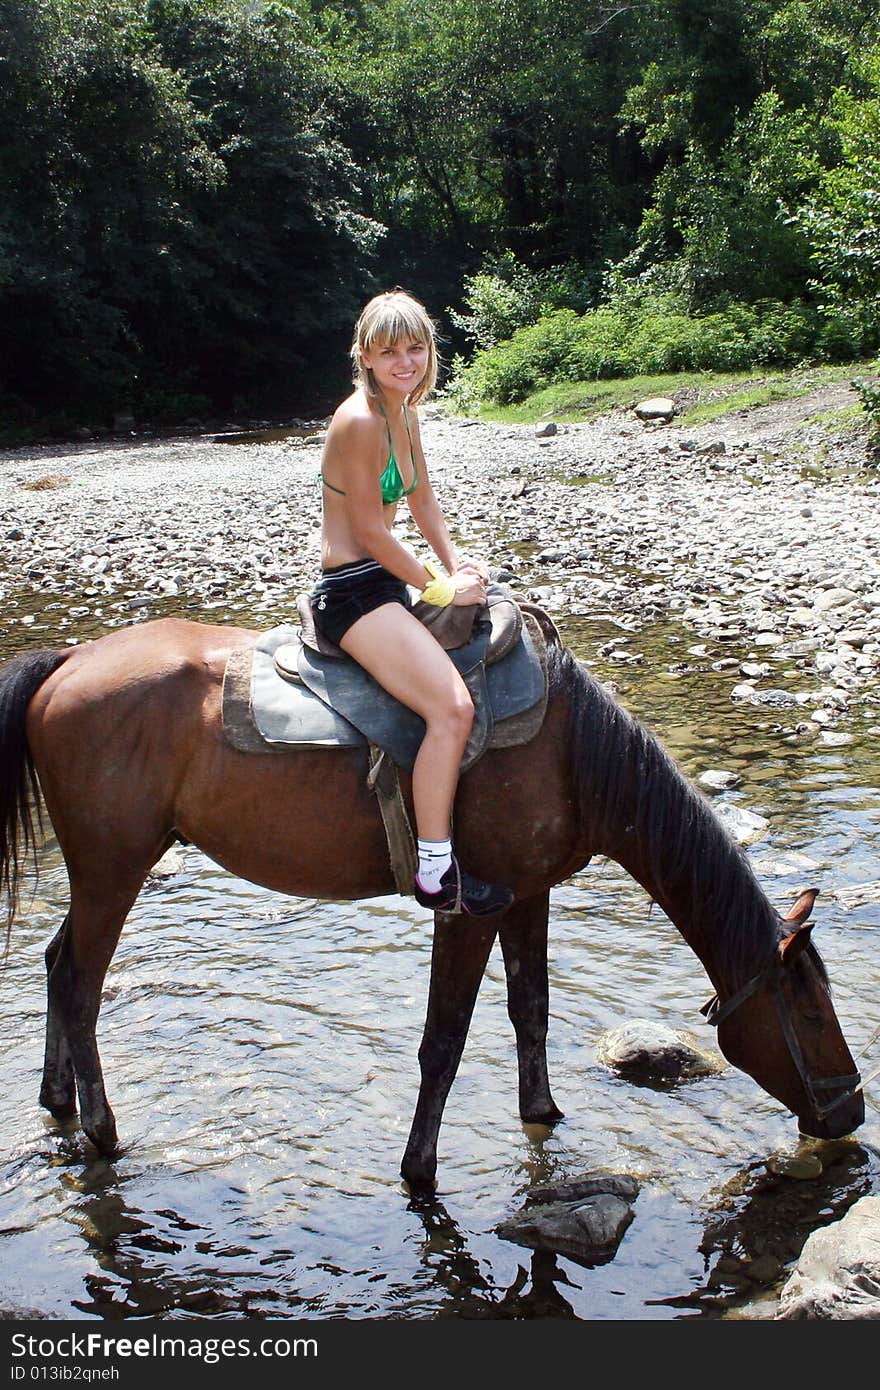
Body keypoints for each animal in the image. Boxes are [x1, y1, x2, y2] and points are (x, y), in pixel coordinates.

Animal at [0, 614, 867, 1189]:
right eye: (811, 1010)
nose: (852, 1112)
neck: (573, 755)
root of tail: (70, 660)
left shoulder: (528, 895)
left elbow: (531, 1010)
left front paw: (544, 1112)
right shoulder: (468, 911)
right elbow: (443, 1040)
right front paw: (419, 1170)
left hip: (100, 872)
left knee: (55, 962)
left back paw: (56, 1102)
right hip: (114, 868)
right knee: (80, 983)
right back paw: (104, 1133)